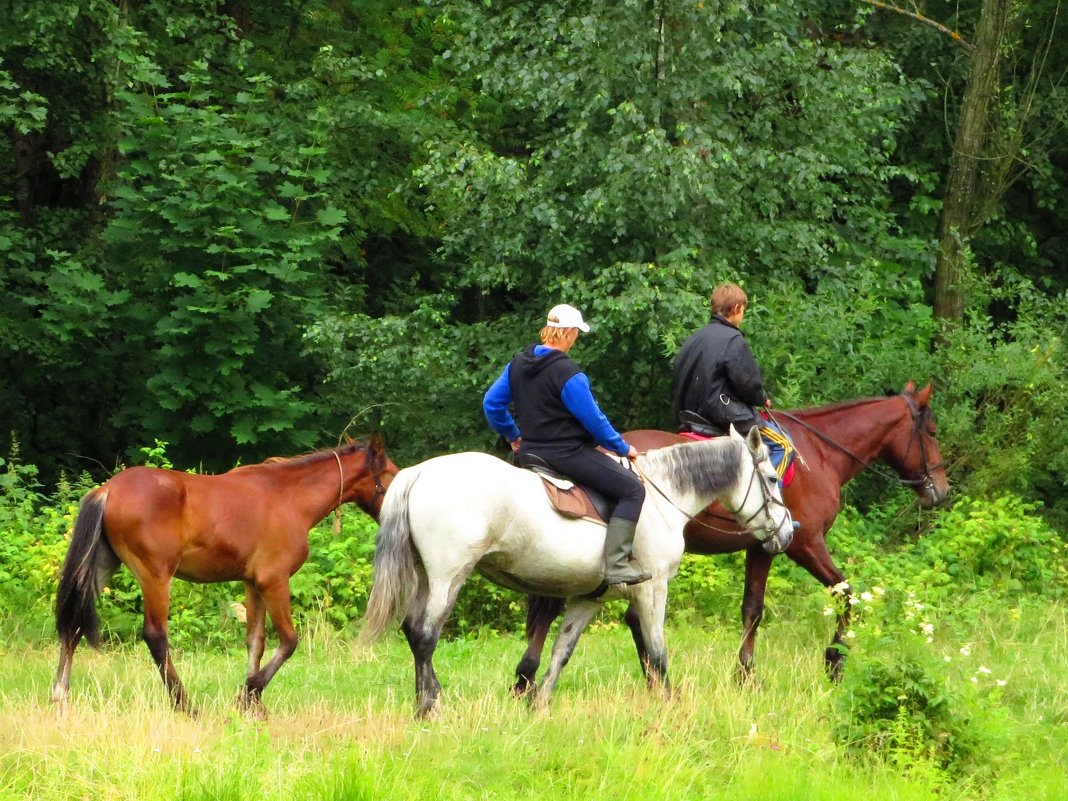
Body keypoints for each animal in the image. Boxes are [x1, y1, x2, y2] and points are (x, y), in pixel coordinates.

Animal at [365, 427, 794, 713]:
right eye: (772, 478)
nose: (788, 532)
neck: (662, 497)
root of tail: (418, 473)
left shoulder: (589, 599)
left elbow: (561, 651)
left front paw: (539, 704)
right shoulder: (653, 589)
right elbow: (657, 652)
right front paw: (670, 703)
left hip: (425, 577)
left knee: (412, 631)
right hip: (447, 577)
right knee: (425, 635)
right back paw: (429, 707)